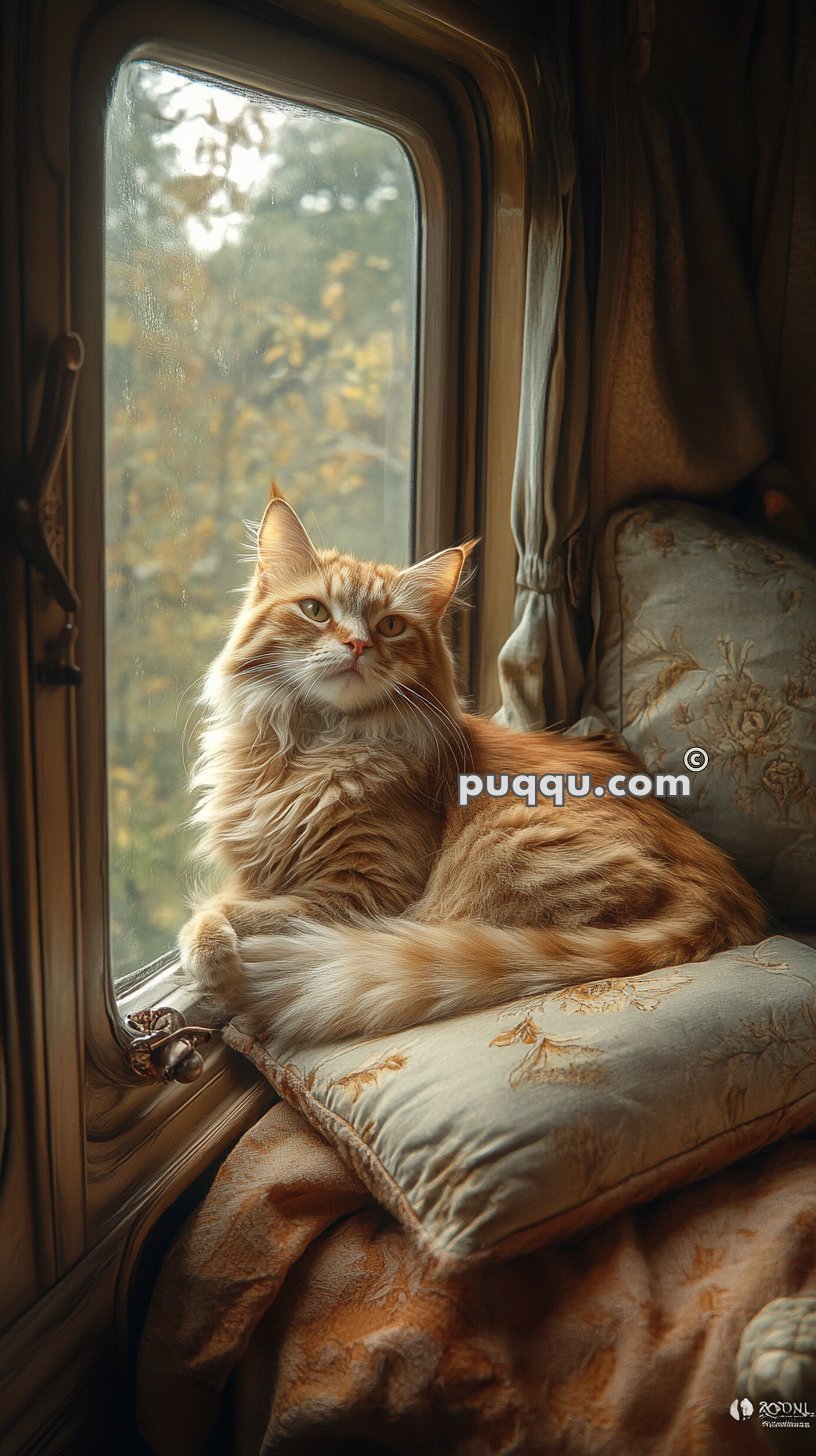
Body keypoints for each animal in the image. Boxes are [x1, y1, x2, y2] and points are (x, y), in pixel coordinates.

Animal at [178, 495, 763, 1042]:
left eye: (390, 625)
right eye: (315, 611)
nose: (358, 644)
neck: (313, 748)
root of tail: (722, 899)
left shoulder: (366, 888)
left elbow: (238, 910)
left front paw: (210, 951)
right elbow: (242, 898)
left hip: (499, 852)